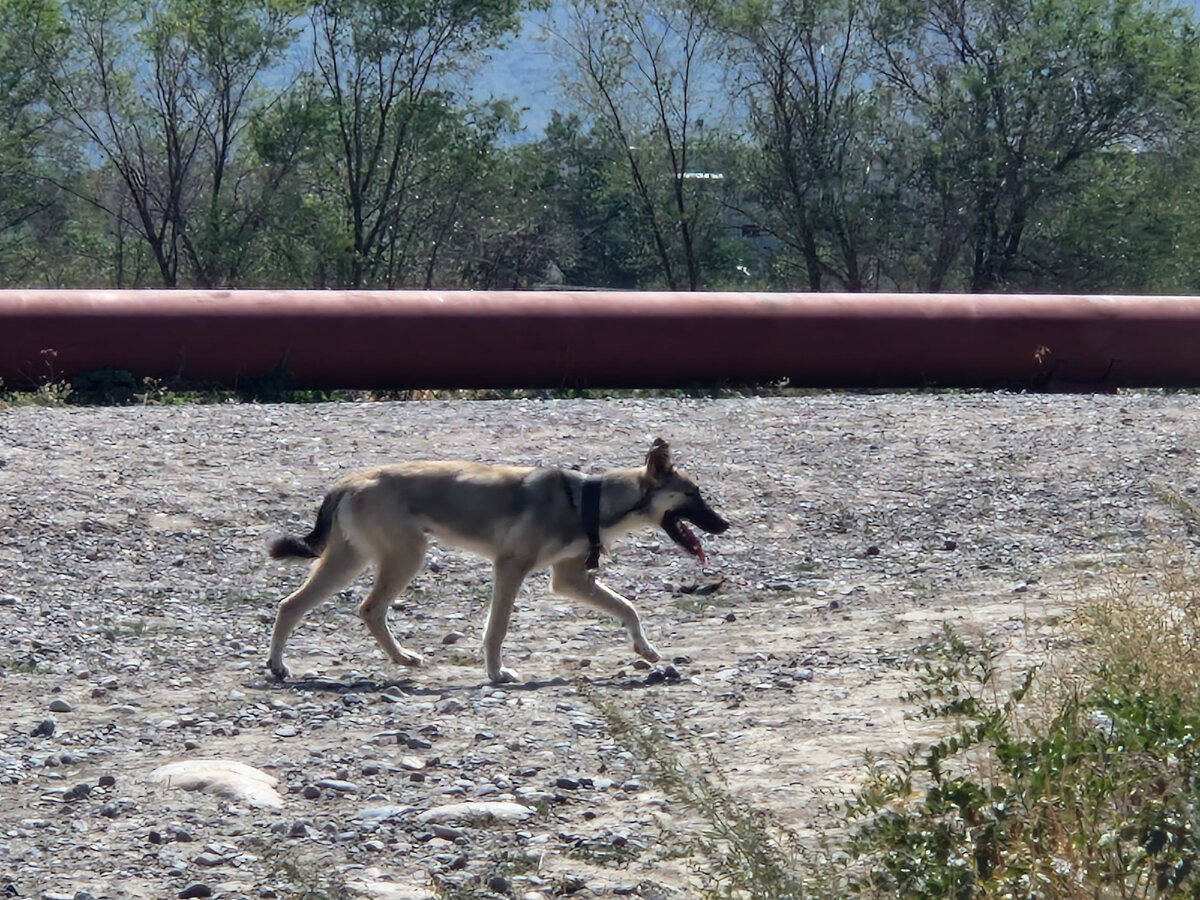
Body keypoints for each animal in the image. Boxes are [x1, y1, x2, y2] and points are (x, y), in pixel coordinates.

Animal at [266, 439, 724, 681]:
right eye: (694, 493)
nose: (725, 525)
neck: (589, 500)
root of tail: (348, 481)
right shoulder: (511, 568)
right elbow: (497, 628)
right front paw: (496, 673)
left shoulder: (571, 579)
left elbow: (628, 608)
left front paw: (645, 649)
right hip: (404, 557)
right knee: (368, 608)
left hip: (350, 561)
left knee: (291, 604)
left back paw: (283, 664)